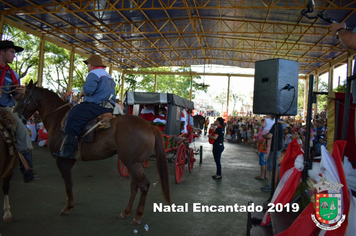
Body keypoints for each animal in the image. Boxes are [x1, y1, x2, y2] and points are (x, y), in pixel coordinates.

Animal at [15, 80, 172, 224]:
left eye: (23, 99)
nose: (16, 114)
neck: (58, 120)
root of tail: (150, 126)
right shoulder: (70, 160)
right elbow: (69, 182)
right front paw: (70, 204)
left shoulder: (61, 160)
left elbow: (68, 182)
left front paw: (68, 206)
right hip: (132, 163)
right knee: (135, 185)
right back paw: (126, 211)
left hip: (133, 164)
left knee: (144, 184)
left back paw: (138, 215)